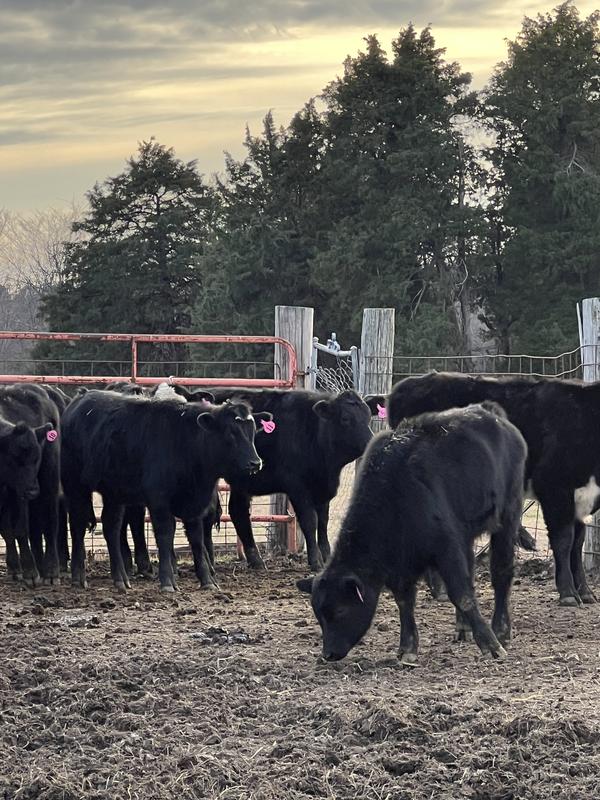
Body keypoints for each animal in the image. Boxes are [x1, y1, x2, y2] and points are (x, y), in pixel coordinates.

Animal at [0, 384, 60, 586]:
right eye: (14, 458)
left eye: (36, 459)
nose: (33, 491)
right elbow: (6, 531)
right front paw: (15, 567)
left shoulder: (20, 495)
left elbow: (20, 530)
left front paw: (30, 572)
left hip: (49, 479)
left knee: (51, 523)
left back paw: (50, 571)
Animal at [61, 389, 270, 592]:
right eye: (231, 432)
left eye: (252, 432)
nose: (255, 463)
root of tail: (79, 400)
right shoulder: (159, 500)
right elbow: (165, 535)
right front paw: (168, 581)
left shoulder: (194, 503)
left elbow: (196, 538)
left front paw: (206, 580)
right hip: (75, 485)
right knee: (78, 524)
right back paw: (78, 577)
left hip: (113, 492)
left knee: (111, 527)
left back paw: (120, 580)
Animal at [186, 388, 376, 572]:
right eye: (345, 418)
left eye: (368, 415)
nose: (370, 443)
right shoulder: (297, 487)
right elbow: (310, 521)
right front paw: (315, 561)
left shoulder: (323, 489)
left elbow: (323, 522)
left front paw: (327, 557)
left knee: (238, 511)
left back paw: (255, 560)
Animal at [297, 402, 527, 663]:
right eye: (319, 614)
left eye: (340, 610)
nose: (328, 653)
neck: (395, 494)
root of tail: (490, 413)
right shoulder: (403, 566)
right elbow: (405, 601)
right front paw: (407, 649)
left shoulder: (446, 549)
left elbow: (462, 595)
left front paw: (490, 644)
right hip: (466, 536)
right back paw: (463, 629)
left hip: (508, 517)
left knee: (501, 573)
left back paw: (501, 630)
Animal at [382, 371, 600, 607]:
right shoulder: (554, 487)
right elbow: (564, 541)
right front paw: (568, 593)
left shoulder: (582, 497)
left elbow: (578, 543)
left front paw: (586, 592)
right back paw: (439, 590)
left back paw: (439, 590)